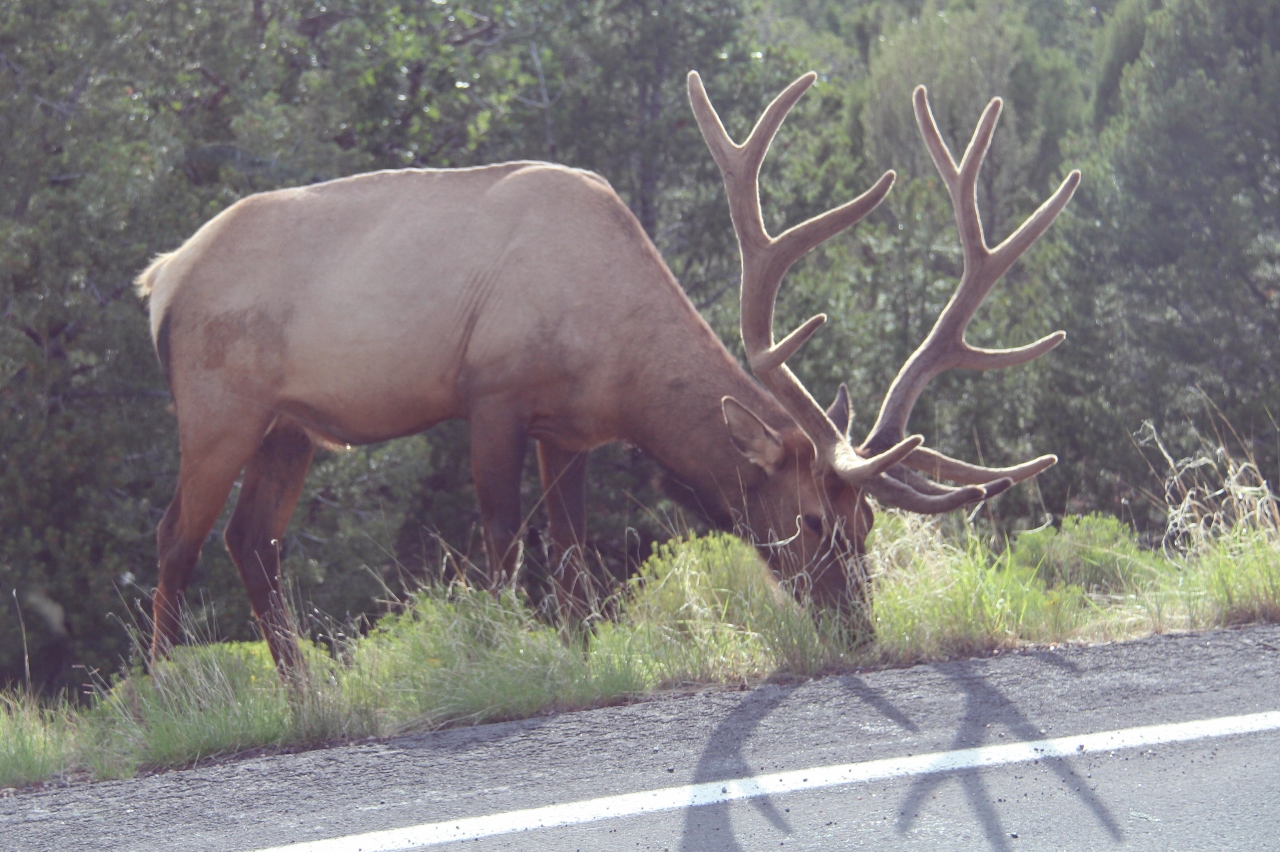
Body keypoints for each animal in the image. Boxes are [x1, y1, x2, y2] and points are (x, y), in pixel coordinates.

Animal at [135, 70, 1078, 676]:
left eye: (870, 524)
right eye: (813, 521)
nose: (859, 629)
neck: (619, 367)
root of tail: (162, 279)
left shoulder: (570, 429)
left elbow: (574, 557)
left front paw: (583, 652)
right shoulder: (494, 392)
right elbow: (504, 541)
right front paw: (505, 653)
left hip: (291, 426)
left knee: (251, 541)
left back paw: (308, 694)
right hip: (216, 403)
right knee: (177, 538)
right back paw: (161, 698)